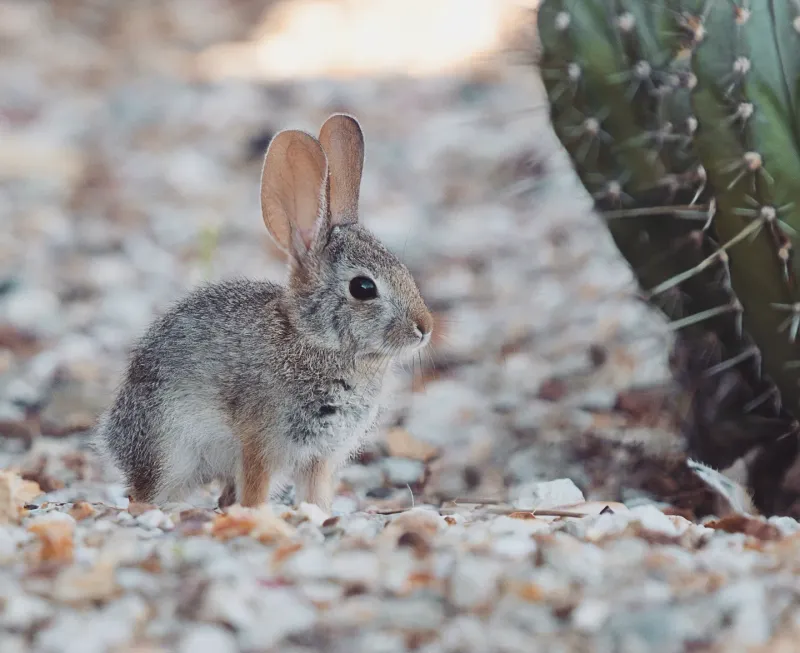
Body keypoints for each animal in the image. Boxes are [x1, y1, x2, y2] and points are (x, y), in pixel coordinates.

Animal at [92, 114, 433, 512]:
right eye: (363, 287)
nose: (424, 328)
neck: (316, 340)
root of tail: (115, 438)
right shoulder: (260, 441)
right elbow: (255, 486)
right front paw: (257, 514)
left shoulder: (319, 456)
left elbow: (316, 492)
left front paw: (319, 513)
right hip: (170, 450)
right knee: (145, 493)